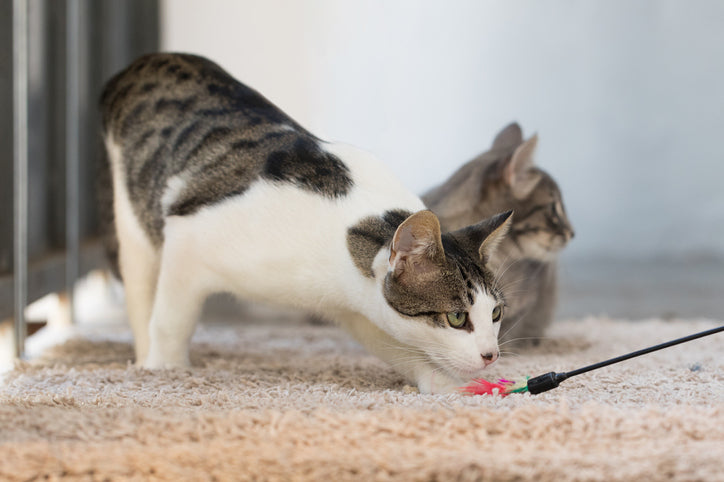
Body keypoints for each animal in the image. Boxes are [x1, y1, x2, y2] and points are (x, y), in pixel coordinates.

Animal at [97, 52, 516, 394]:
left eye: (496, 313)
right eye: (457, 317)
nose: (491, 355)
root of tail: (146, 61)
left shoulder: (358, 310)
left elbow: (397, 346)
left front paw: (446, 382)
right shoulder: (188, 241)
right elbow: (170, 322)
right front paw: (167, 369)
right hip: (134, 219)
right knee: (142, 295)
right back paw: (145, 360)